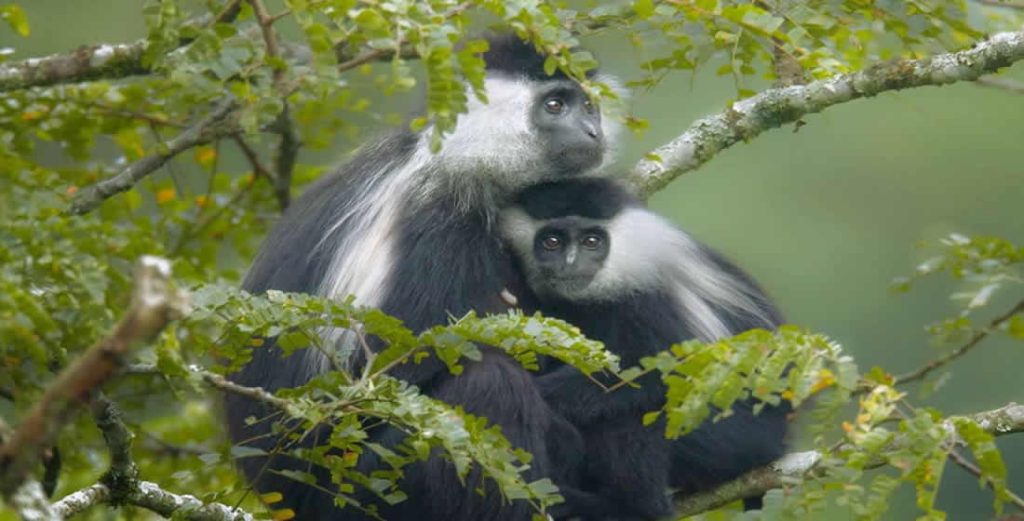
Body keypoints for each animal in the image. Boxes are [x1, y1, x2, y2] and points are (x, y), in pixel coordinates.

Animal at [225, 34, 620, 520]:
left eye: (589, 106)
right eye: (555, 104)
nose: (593, 132)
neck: (462, 162)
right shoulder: (436, 227)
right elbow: (397, 367)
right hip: (363, 485)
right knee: (488, 386)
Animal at [499, 177, 789, 519]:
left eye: (592, 241)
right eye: (552, 242)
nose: (570, 264)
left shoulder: (651, 300)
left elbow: (665, 375)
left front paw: (543, 395)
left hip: (737, 437)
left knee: (633, 417)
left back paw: (628, 506)